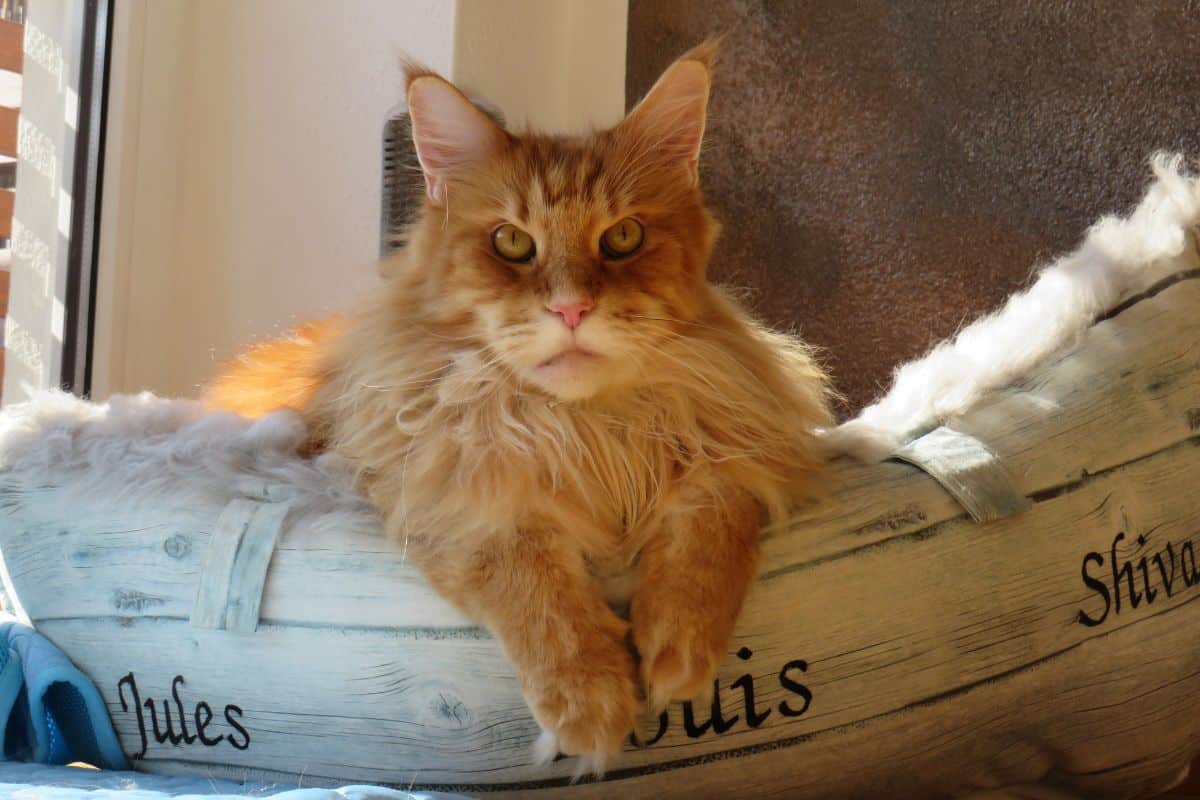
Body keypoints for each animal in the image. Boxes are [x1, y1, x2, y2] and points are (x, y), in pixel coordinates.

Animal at [206, 45, 830, 777]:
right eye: (510, 242)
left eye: (623, 237)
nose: (571, 309)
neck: (584, 427)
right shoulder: (453, 492)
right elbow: (535, 589)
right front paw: (592, 704)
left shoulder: (731, 443)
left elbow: (710, 527)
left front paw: (678, 651)